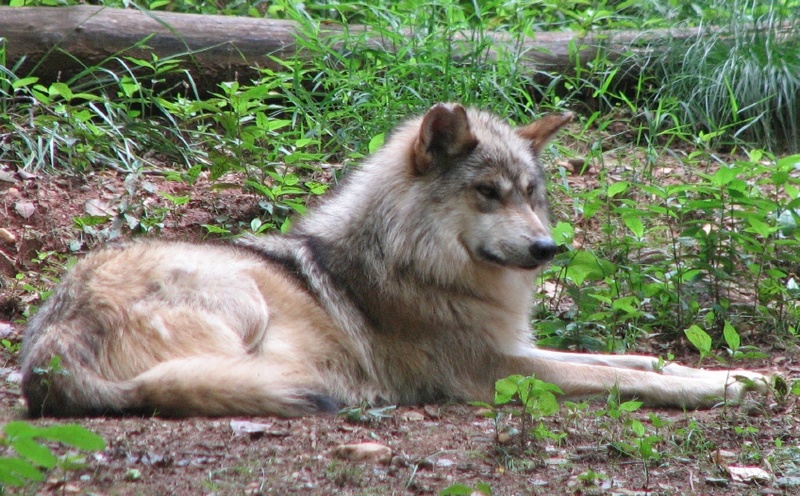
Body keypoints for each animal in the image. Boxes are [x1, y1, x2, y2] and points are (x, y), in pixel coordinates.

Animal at [20, 103, 769, 418]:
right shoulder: (494, 368)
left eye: (531, 195)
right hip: (241, 295)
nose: (547, 249)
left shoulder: (516, 348)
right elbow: (624, 378)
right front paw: (717, 389)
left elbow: (635, 361)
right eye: (488, 193)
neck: (418, 265)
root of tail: (46, 364)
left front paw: (743, 374)